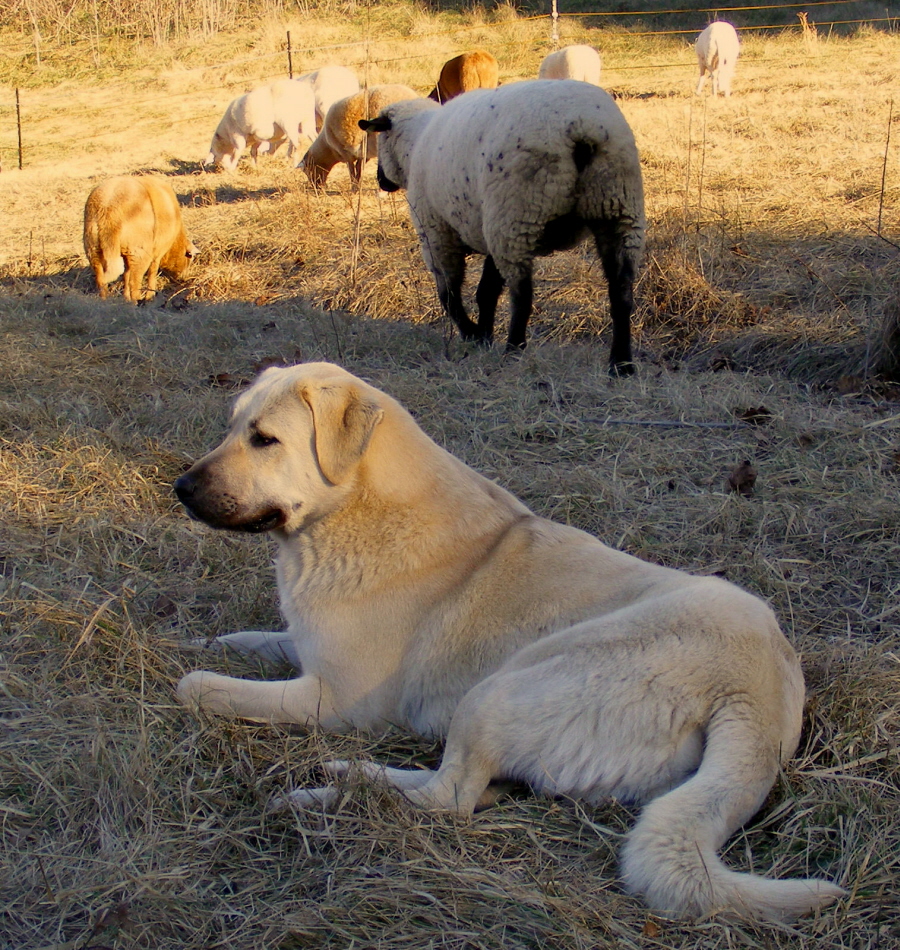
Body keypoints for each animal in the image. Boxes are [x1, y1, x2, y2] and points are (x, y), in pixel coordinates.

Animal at [174, 362, 844, 924]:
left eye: (264, 439)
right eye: (231, 427)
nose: (179, 487)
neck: (353, 510)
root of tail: (761, 695)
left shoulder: (333, 700)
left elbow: (198, 686)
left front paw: (188, 673)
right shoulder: (304, 647)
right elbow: (239, 640)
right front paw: (197, 639)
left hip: (501, 688)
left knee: (451, 799)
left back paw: (328, 792)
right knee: (477, 791)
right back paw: (349, 774)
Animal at [358, 80, 648, 376]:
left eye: (379, 140)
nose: (381, 181)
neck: (415, 143)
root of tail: (582, 127)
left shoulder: (437, 233)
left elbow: (449, 294)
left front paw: (472, 334)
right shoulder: (488, 235)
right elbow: (486, 291)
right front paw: (483, 336)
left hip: (516, 215)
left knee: (522, 295)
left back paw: (513, 350)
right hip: (618, 208)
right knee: (621, 292)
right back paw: (621, 364)